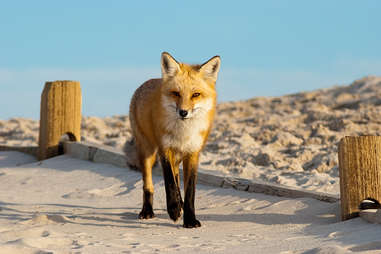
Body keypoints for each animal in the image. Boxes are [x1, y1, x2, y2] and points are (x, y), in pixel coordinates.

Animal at [128, 51, 220, 228]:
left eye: (196, 95)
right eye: (176, 93)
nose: (183, 112)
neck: (183, 133)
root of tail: (148, 81)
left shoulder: (193, 153)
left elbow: (189, 190)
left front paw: (189, 219)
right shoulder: (165, 149)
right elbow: (169, 182)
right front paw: (174, 210)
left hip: (176, 156)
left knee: (177, 179)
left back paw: (180, 204)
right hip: (147, 151)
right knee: (148, 185)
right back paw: (147, 211)